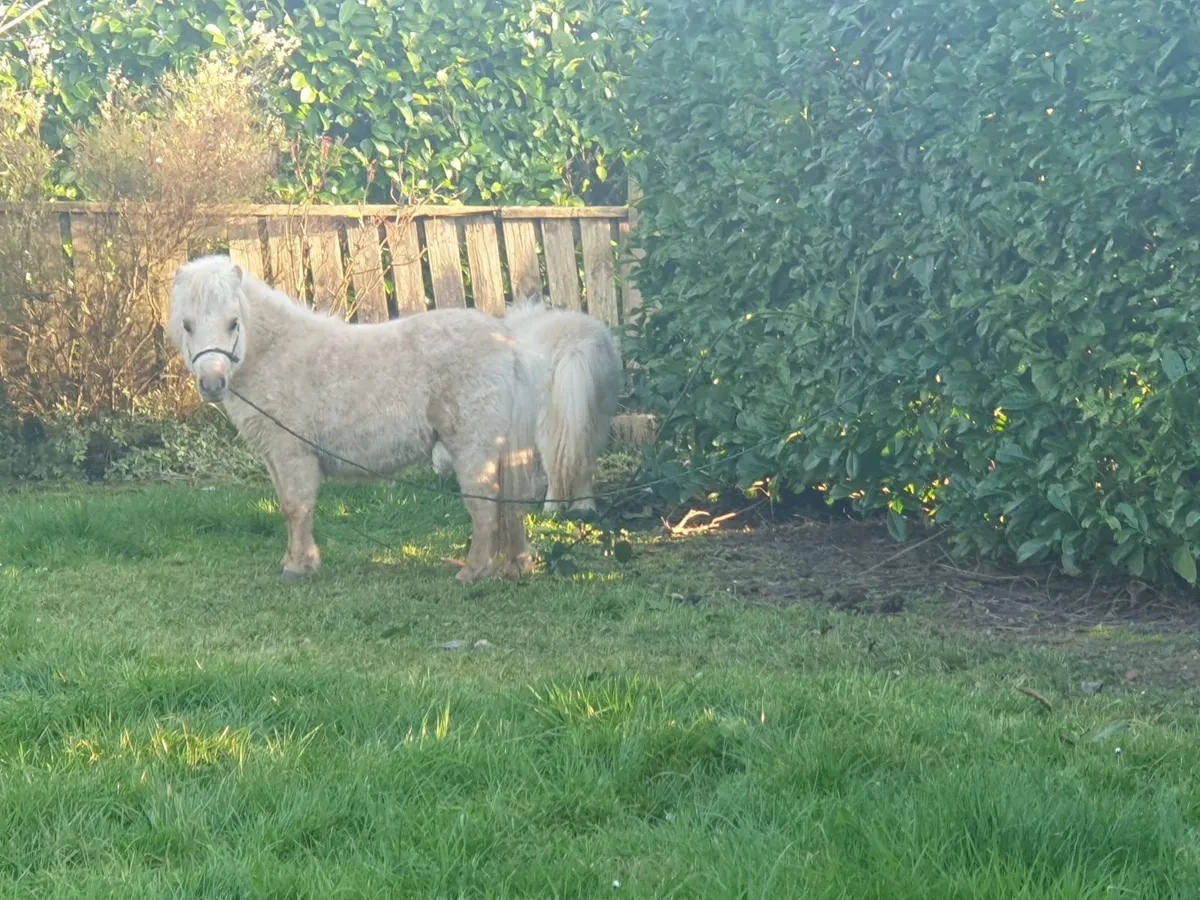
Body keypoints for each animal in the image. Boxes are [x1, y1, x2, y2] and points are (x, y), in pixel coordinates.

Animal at [166, 254, 543, 584]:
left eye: (233, 323)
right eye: (187, 325)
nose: (212, 383)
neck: (276, 353)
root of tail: (506, 342)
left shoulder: (293, 453)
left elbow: (297, 507)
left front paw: (298, 568)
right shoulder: (274, 456)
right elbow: (287, 508)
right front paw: (295, 561)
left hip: (472, 445)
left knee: (483, 503)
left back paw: (472, 571)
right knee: (509, 506)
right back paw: (513, 565)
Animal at [432, 292, 623, 516]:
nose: (436, 471)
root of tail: (574, 347)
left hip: (549, 424)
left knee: (555, 468)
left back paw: (551, 509)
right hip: (594, 419)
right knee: (584, 463)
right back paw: (584, 507)